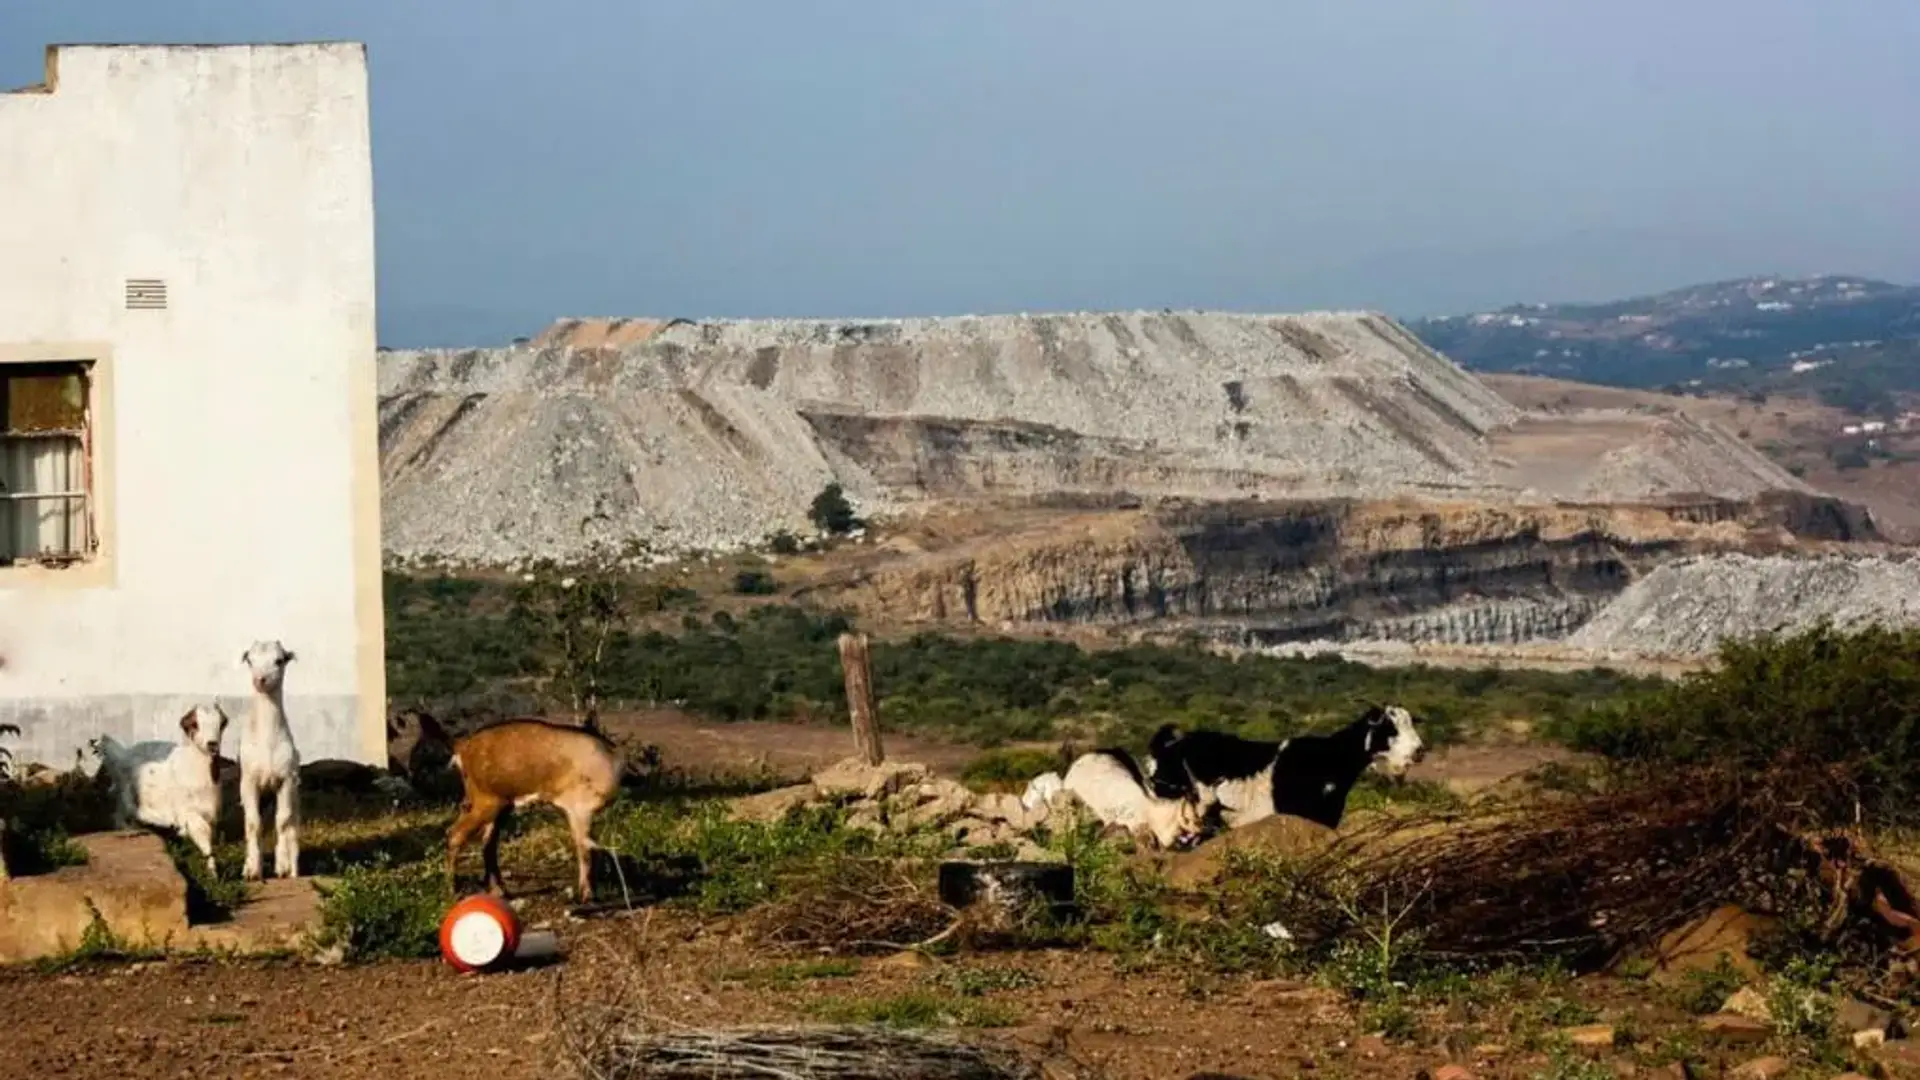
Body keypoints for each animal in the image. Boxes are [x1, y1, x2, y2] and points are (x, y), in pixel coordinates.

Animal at [91, 703, 230, 868]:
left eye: (221, 724)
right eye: (195, 724)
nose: (212, 744)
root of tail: (124, 755)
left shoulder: (209, 813)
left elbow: (206, 838)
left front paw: (211, 869)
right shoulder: (186, 810)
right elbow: (201, 830)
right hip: (127, 793)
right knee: (125, 812)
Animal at [240, 638, 303, 876]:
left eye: (279, 660)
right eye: (250, 660)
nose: (260, 680)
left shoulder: (286, 780)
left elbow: (282, 822)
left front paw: (282, 866)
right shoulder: (248, 780)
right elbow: (253, 823)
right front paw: (253, 869)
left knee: (291, 826)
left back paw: (293, 867)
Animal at [441, 718, 622, 903]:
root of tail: (462, 748)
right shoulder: (580, 808)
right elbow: (586, 851)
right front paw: (587, 895)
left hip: (495, 804)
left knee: (487, 843)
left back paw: (499, 891)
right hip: (487, 800)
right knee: (455, 834)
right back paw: (452, 891)